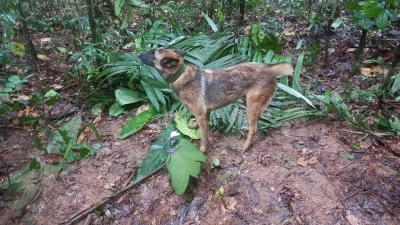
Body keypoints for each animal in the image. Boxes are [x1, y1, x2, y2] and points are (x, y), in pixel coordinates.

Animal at [138, 48, 294, 151]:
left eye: (152, 54)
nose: (138, 53)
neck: (180, 75)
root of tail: (269, 69)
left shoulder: (201, 115)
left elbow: (203, 136)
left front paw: (202, 150)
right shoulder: (204, 114)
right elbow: (198, 125)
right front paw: (193, 125)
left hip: (251, 106)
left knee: (254, 129)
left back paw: (245, 146)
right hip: (248, 102)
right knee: (256, 122)